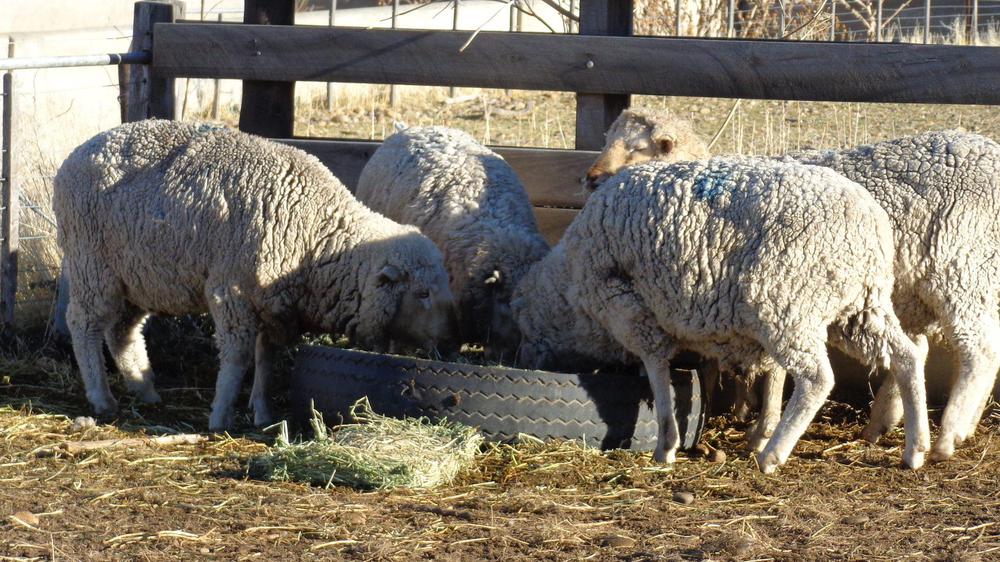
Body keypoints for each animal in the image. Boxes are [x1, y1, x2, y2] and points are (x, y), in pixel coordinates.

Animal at [54, 119, 459, 431]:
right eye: (422, 293)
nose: (451, 341)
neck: (317, 235)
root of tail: (78, 152)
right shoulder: (231, 293)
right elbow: (237, 359)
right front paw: (221, 416)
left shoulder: (277, 306)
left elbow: (267, 360)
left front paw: (263, 413)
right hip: (92, 266)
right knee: (83, 325)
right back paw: (102, 399)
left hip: (139, 276)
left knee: (121, 332)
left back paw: (145, 388)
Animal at [512, 157, 930, 473]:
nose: (522, 362)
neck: (568, 287)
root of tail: (869, 224)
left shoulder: (632, 313)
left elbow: (658, 374)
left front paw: (666, 445)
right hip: (860, 308)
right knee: (907, 357)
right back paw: (916, 448)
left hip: (787, 302)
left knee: (817, 379)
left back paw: (773, 455)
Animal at [585, 109, 1000, 461]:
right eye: (608, 141)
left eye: (637, 148)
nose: (590, 178)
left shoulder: (778, 295)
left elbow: (774, 371)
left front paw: (762, 432)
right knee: (934, 352)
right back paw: (913, 426)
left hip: (962, 271)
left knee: (979, 352)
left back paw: (947, 436)